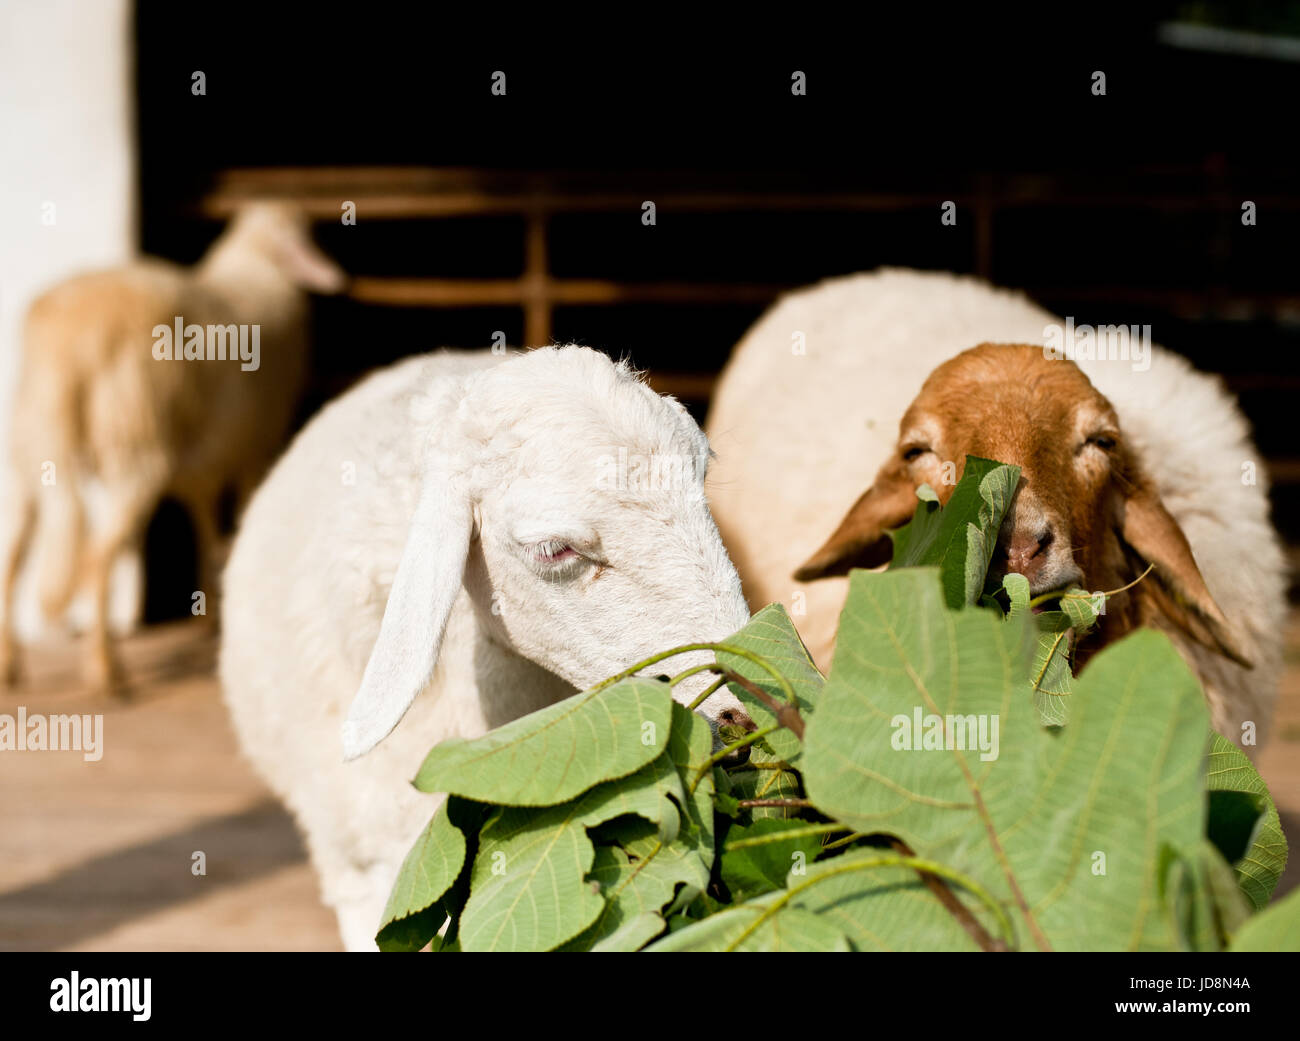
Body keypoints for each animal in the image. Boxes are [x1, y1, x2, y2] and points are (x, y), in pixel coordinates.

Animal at [0, 202, 345, 693]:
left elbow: (205, 524)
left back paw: (10, 665)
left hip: (30, 448)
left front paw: (208, 616)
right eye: (301, 237)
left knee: (12, 557)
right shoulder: (256, 448)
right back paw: (106, 671)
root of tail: (68, 344)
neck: (258, 271)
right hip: (134, 442)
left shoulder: (208, 460)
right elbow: (239, 524)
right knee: (97, 558)